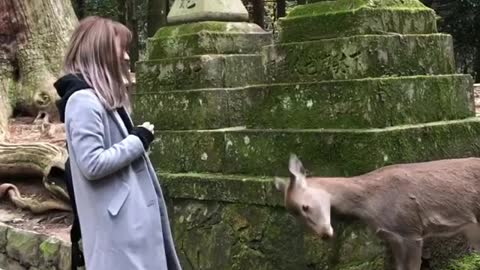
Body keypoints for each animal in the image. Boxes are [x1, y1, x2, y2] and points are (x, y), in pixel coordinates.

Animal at [274, 154, 480, 270]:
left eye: (304, 206)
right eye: (293, 214)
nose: (325, 234)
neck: (371, 204)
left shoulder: (410, 229)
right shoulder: (393, 236)